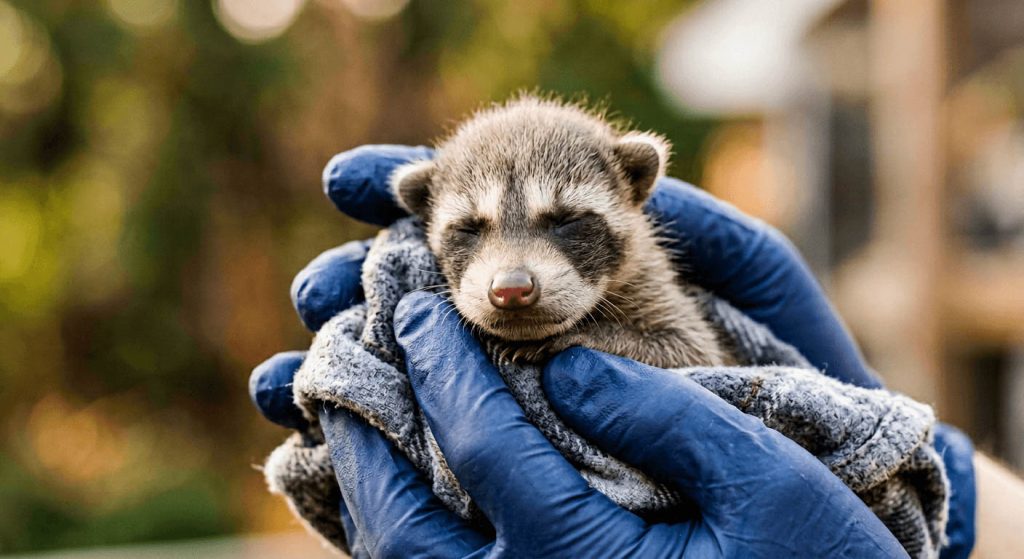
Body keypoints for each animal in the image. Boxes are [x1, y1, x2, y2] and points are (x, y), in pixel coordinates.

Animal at [390, 96, 733, 368]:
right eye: (468, 228)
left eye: (566, 220)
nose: (511, 289)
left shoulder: (651, 283)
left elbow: (690, 348)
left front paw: (588, 334)